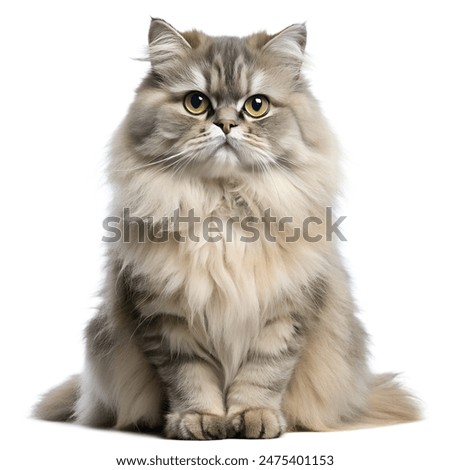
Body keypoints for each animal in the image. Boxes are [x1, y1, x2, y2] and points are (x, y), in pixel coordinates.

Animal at [36, 17, 422, 436]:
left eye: (257, 105)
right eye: (196, 103)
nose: (225, 124)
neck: (223, 209)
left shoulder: (284, 315)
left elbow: (263, 375)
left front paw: (253, 418)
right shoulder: (168, 319)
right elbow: (191, 379)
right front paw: (199, 420)